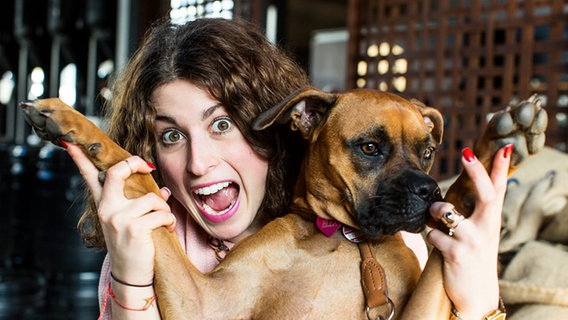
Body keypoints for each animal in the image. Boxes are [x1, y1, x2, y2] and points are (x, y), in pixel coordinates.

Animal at [20, 88, 548, 320]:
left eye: (428, 152)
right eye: (370, 148)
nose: (428, 192)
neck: (349, 241)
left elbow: (443, 256)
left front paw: (501, 145)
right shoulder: (205, 303)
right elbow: (145, 184)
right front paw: (77, 125)